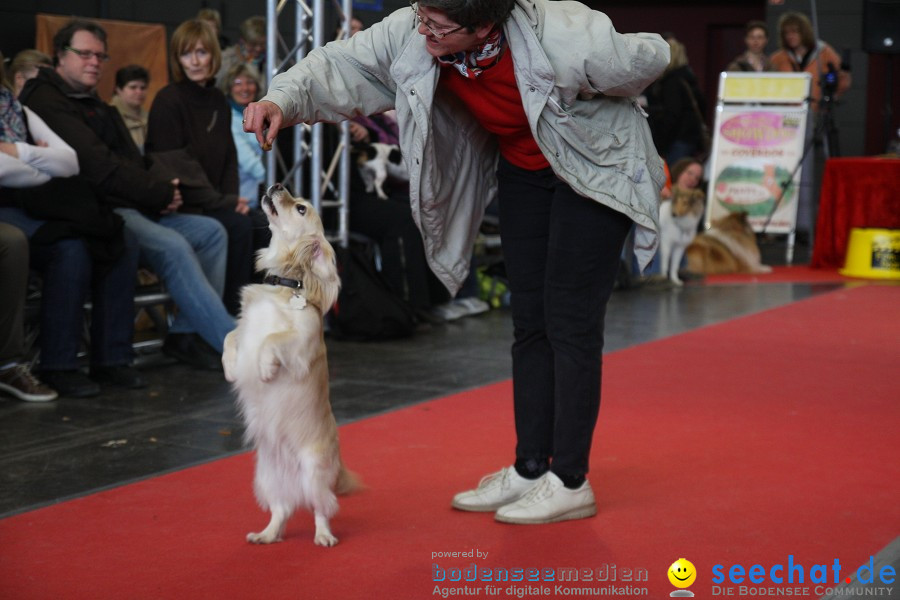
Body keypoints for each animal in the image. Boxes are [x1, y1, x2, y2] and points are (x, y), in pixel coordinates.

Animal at [223, 185, 360, 548]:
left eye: (300, 208)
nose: (277, 186)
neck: (284, 283)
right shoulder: (244, 329)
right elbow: (230, 337)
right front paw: (230, 367)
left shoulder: (300, 342)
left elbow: (272, 339)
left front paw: (265, 368)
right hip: (267, 477)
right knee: (282, 510)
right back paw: (267, 534)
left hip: (314, 473)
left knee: (321, 508)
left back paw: (324, 536)